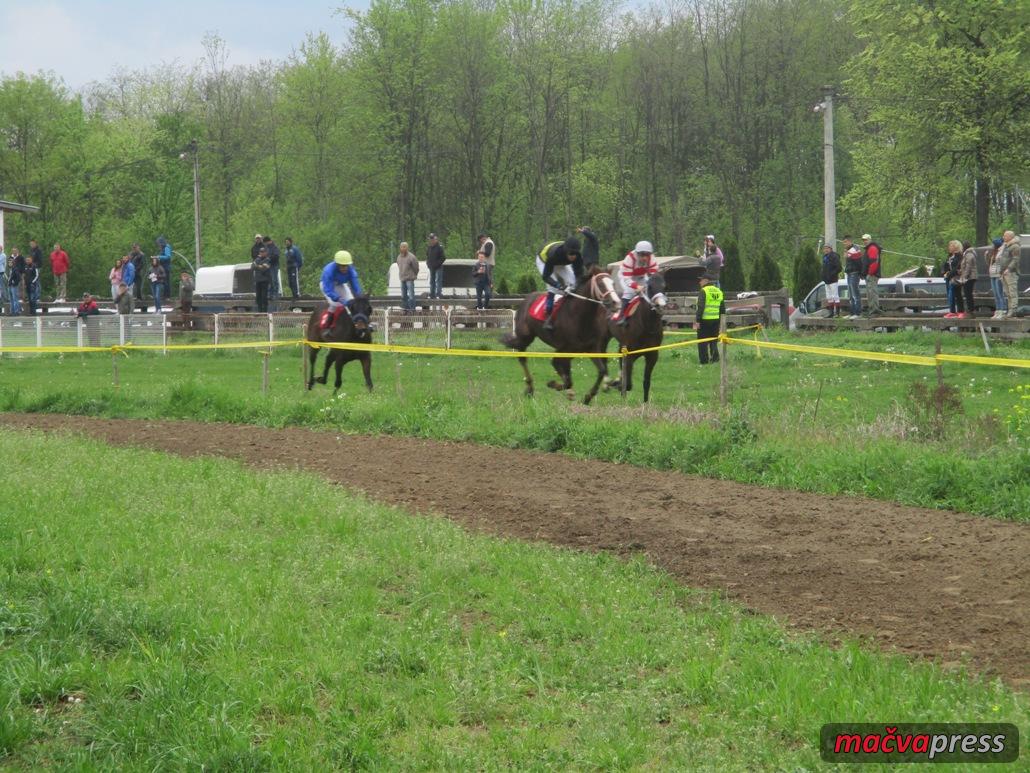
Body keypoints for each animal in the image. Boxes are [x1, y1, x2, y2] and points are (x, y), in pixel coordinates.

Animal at [500, 265, 618, 406]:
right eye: (600, 284)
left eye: (613, 283)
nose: (616, 302)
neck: (580, 316)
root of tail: (527, 299)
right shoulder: (564, 348)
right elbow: (561, 372)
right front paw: (554, 384)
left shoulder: (591, 348)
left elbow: (601, 370)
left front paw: (588, 396)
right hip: (525, 337)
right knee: (522, 357)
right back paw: (530, 388)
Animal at [601, 274, 667, 406]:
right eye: (650, 287)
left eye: (664, 286)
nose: (661, 305)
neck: (647, 324)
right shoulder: (630, 354)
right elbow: (628, 384)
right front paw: (618, 385)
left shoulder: (652, 355)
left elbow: (646, 381)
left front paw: (645, 403)